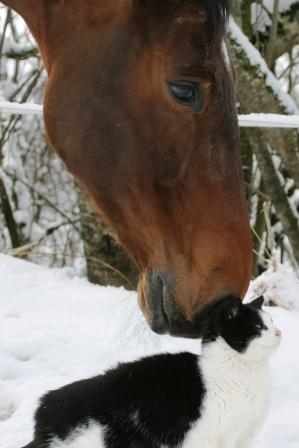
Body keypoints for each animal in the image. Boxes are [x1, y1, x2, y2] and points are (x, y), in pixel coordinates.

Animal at [22, 296, 282, 446]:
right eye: (259, 327)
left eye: (272, 322)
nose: (279, 333)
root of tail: (42, 409)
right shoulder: (209, 438)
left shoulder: (242, 438)